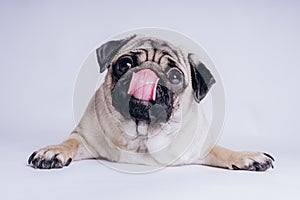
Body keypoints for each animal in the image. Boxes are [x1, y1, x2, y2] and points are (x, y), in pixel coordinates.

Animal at [27, 34, 274, 170]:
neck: (141, 135)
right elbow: (69, 143)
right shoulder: (84, 138)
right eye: (125, 65)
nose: (147, 73)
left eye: (175, 76)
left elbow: (222, 151)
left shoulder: (201, 148)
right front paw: (52, 151)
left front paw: (246, 157)